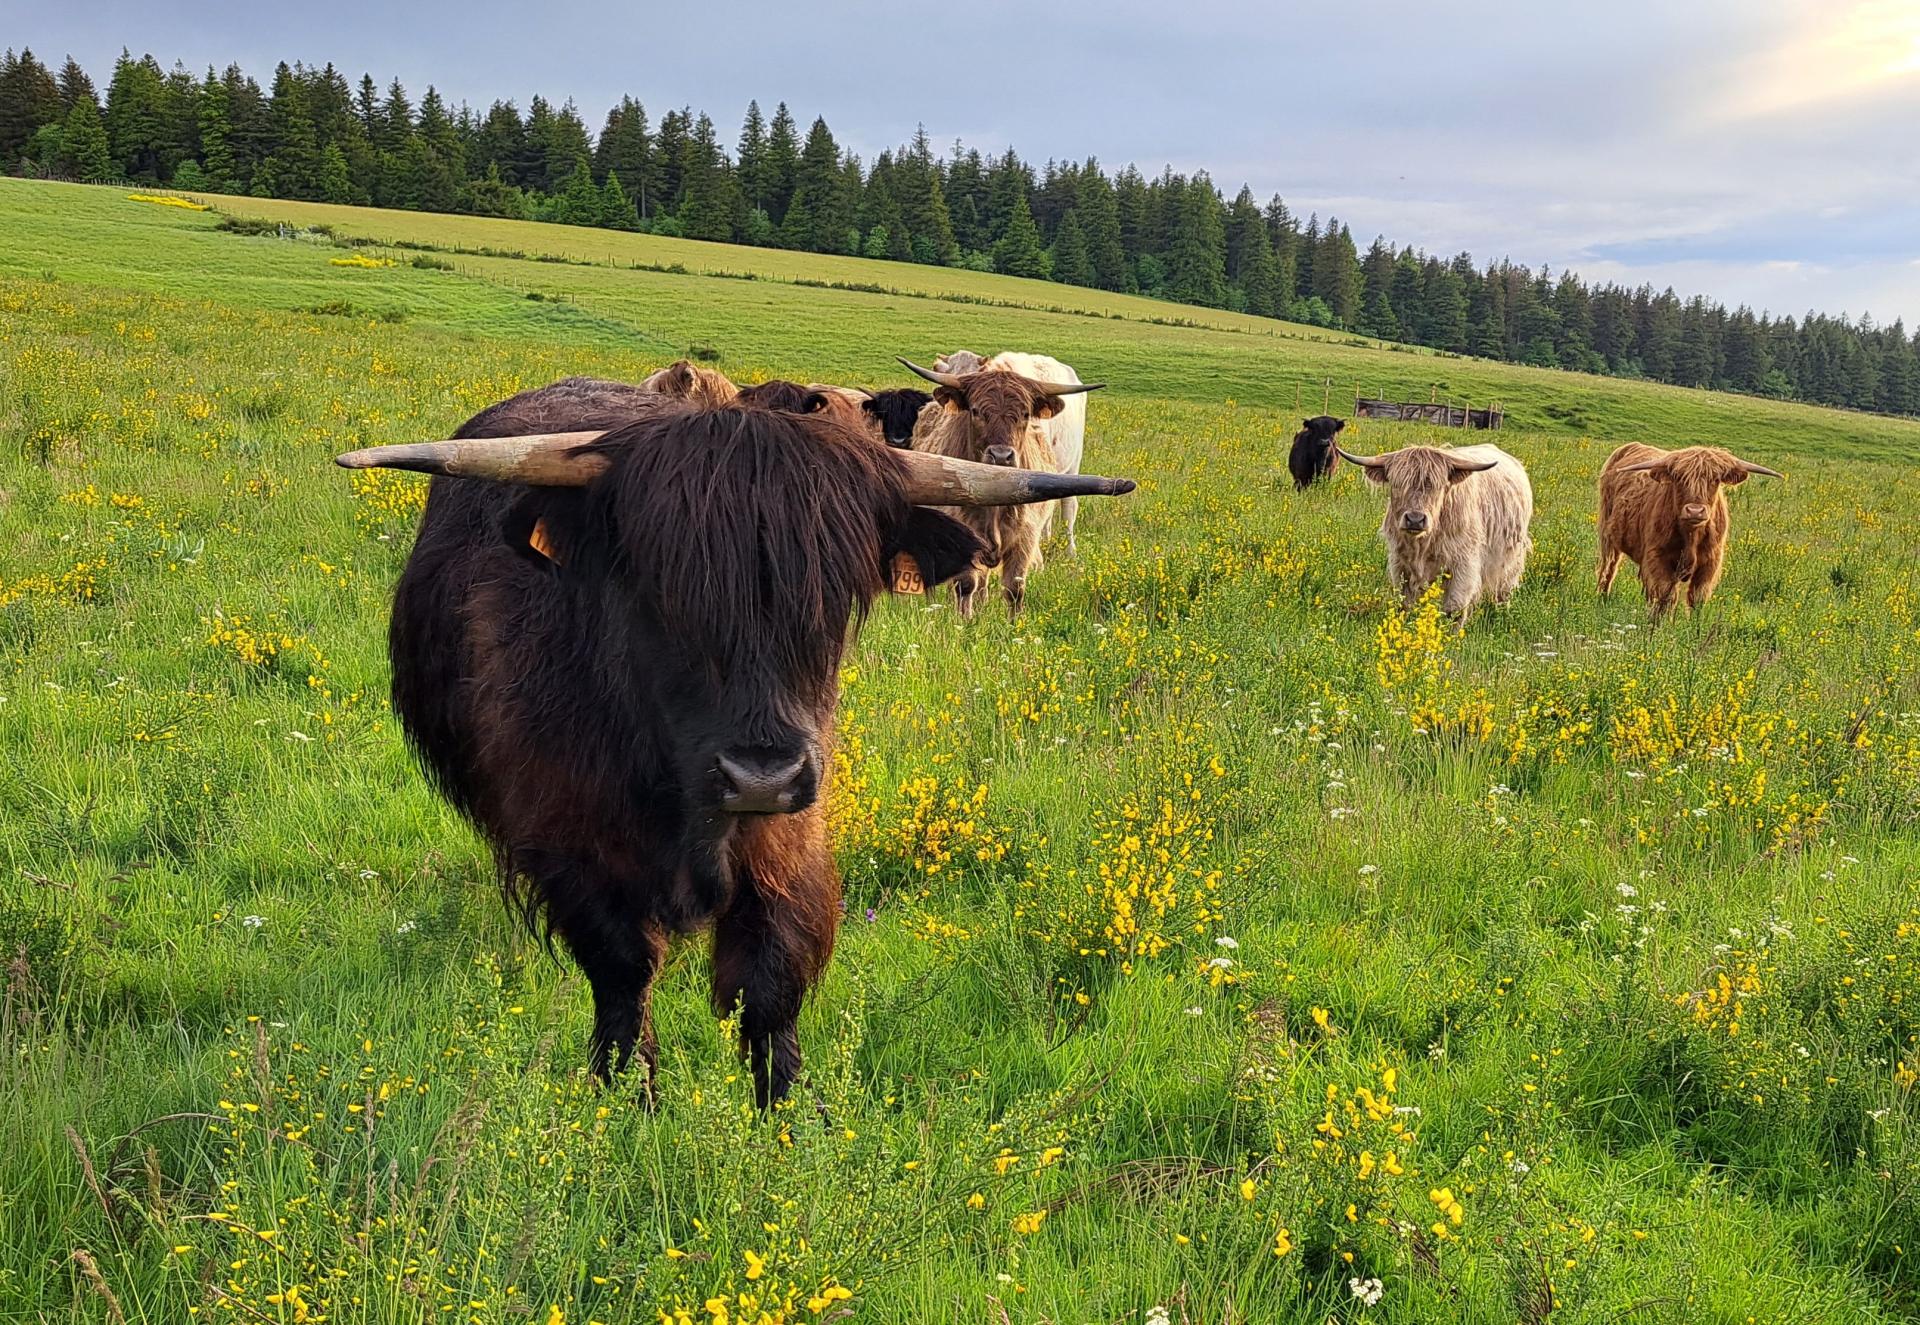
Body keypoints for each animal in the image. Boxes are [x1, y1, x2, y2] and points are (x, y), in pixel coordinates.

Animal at [339, 376, 1128, 1098]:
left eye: (837, 594)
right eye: (656, 590)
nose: (761, 776)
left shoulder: (791, 834)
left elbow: (770, 981)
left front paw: (788, 1116)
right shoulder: (568, 838)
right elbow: (624, 972)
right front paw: (627, 1098)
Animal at [1344, 437, 1536, 614]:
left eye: (1437, 486)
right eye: (1397, 484)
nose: (1415, 519)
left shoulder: (1463, 565)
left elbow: (1454, 608)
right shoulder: (1400, 564)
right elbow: (1404, 603)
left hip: (1511, 559)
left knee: (1504, 588)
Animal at [1589, 437, 1781, 614]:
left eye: (1715, 479)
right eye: (1679, 478)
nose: (1695, 511)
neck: (1691, 536)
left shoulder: (1710, 564)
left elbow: (1697, 599)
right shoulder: (1657, 558)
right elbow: (1666, 597)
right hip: (1607, 535)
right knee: (1608, 568)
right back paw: (1601, 598)